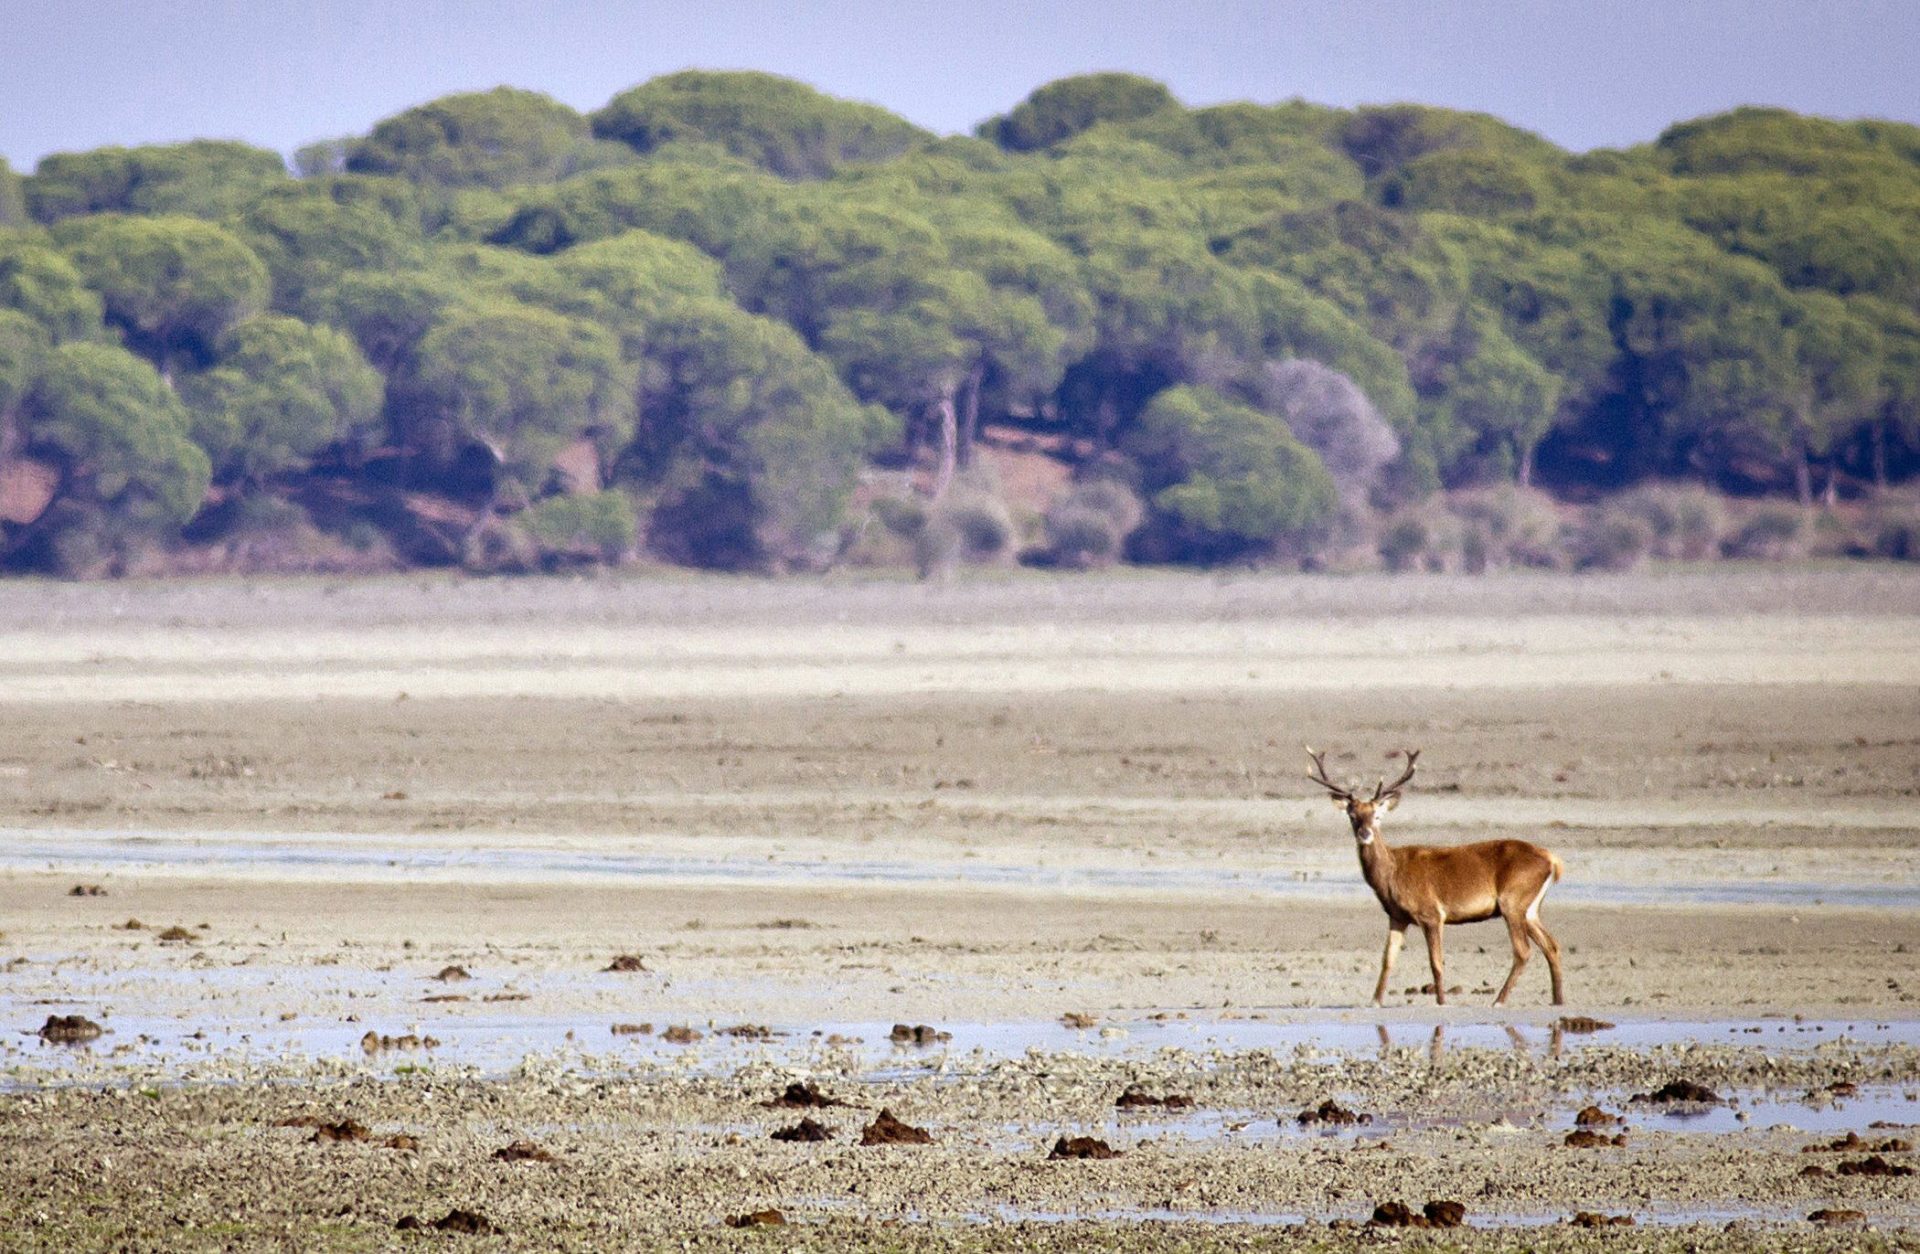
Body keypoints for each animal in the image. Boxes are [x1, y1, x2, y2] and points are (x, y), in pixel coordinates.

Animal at [1297, 748, 1566, 1006]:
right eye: (1352, 816)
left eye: (1377, 816)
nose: (1365, 833)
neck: (1392, 876)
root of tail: (1552, 860)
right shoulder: (1397, 916)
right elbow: (1387, 959)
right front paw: (1374, 1001)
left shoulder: (1432, 914)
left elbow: (1436, 961)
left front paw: (1441, 1001)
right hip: (1529, 909)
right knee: (1552, 945)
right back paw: (1557, 999)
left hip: (1513, 901)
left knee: (1523, 951)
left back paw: (1499, 1001)